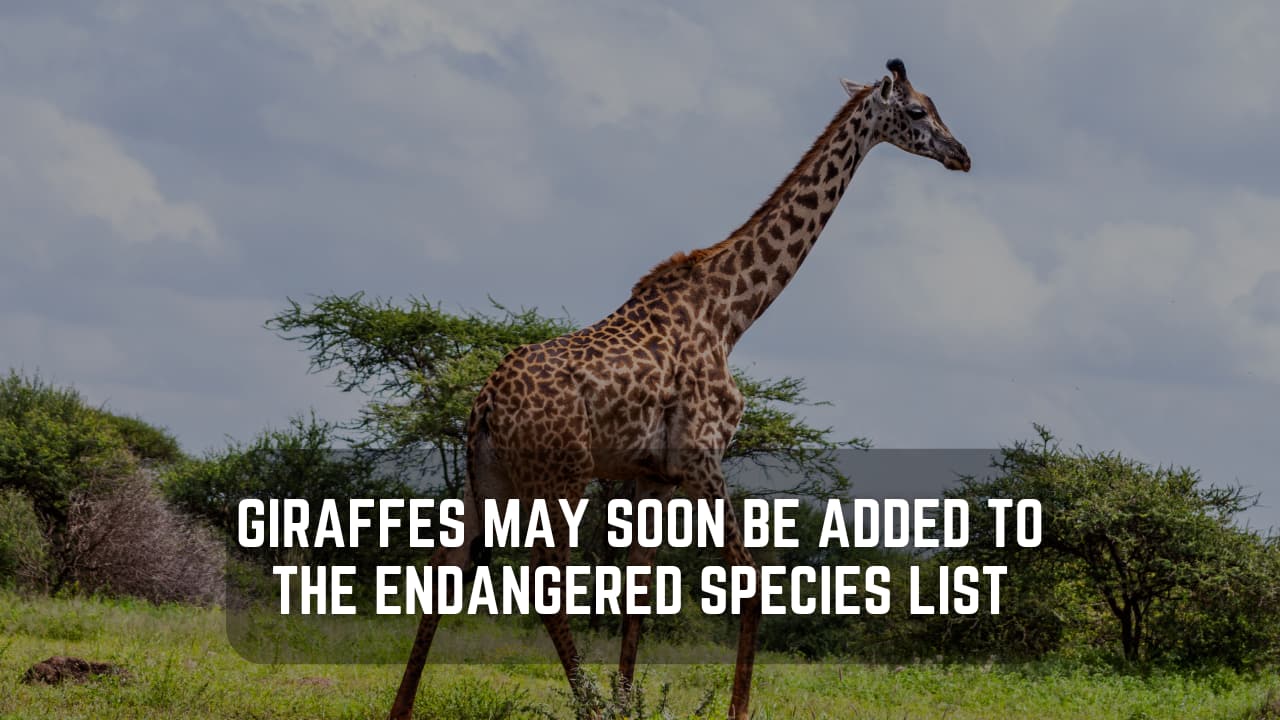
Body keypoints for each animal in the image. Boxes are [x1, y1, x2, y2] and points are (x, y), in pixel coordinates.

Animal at [388, 58, 970, 720]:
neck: (733, 313)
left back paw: (403, 710)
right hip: (558, 478)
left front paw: (629, 701)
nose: (961, 154)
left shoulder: (655, 476)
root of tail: (484, 404)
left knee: (448, 570)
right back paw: (589, 708)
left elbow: (638, 593)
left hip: (488, 479)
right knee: (544, 587)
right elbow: (750, 584)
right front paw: (729, 710)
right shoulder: (702, 456)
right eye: (919, 110)